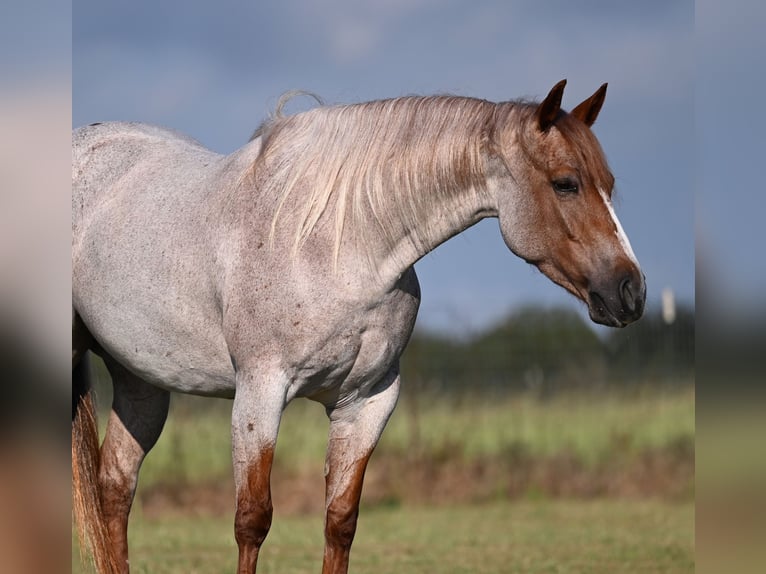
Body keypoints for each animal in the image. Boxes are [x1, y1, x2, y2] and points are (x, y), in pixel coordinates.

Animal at [73, 82, 648, 574]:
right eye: (566, 184)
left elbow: (340, 522)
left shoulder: (366, 401)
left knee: (115, 487)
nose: (631, 292)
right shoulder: (259, 393)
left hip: (141, 381)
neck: (338, 244)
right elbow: (252, 520)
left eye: (610, 185)